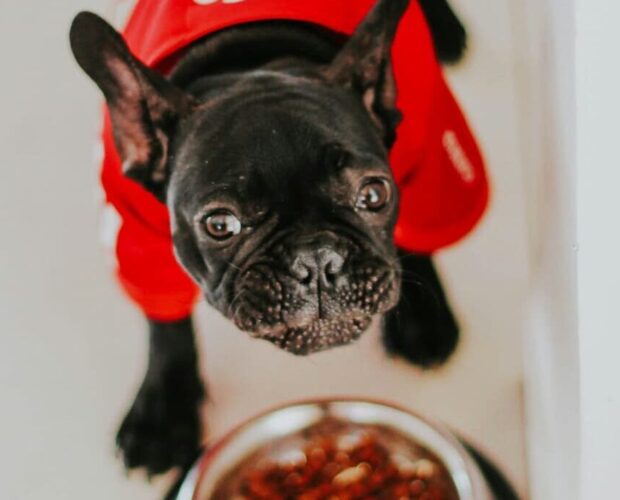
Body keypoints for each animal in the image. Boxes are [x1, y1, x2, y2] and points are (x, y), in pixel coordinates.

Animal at [70, 0, 486, 476]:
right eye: (219, 224)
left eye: (374, 194)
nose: (318, 258)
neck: (251, 63)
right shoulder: (136, 231)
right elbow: (165, 323)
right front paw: (163, 409)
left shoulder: (432, 158)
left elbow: (419, 236)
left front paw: (424, 316)